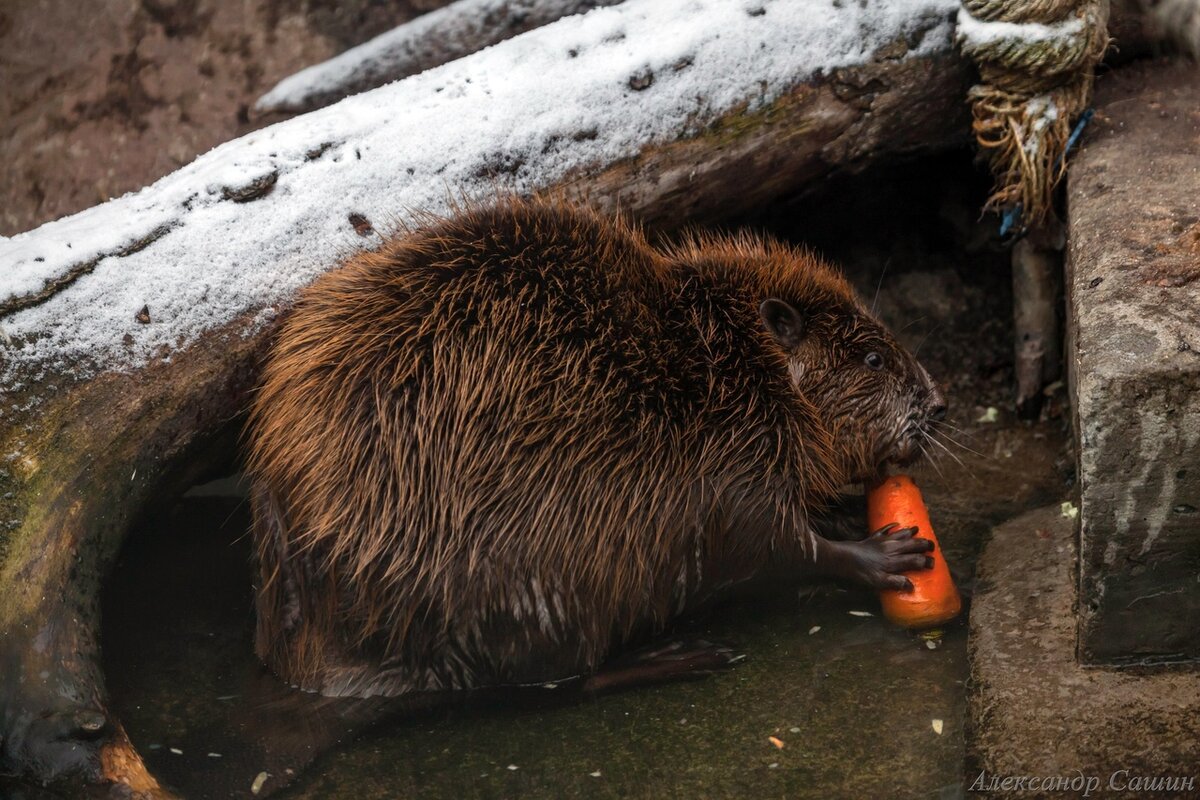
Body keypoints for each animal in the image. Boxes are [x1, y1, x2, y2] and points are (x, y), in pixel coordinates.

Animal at [248, 199, 945, 700]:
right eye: (873, 359)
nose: (937, 406)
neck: (722, 362)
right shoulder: (730, 457)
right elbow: (767, 542)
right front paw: (888, 552)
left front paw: (850, 514)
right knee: (558, 680)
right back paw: (680, 656)